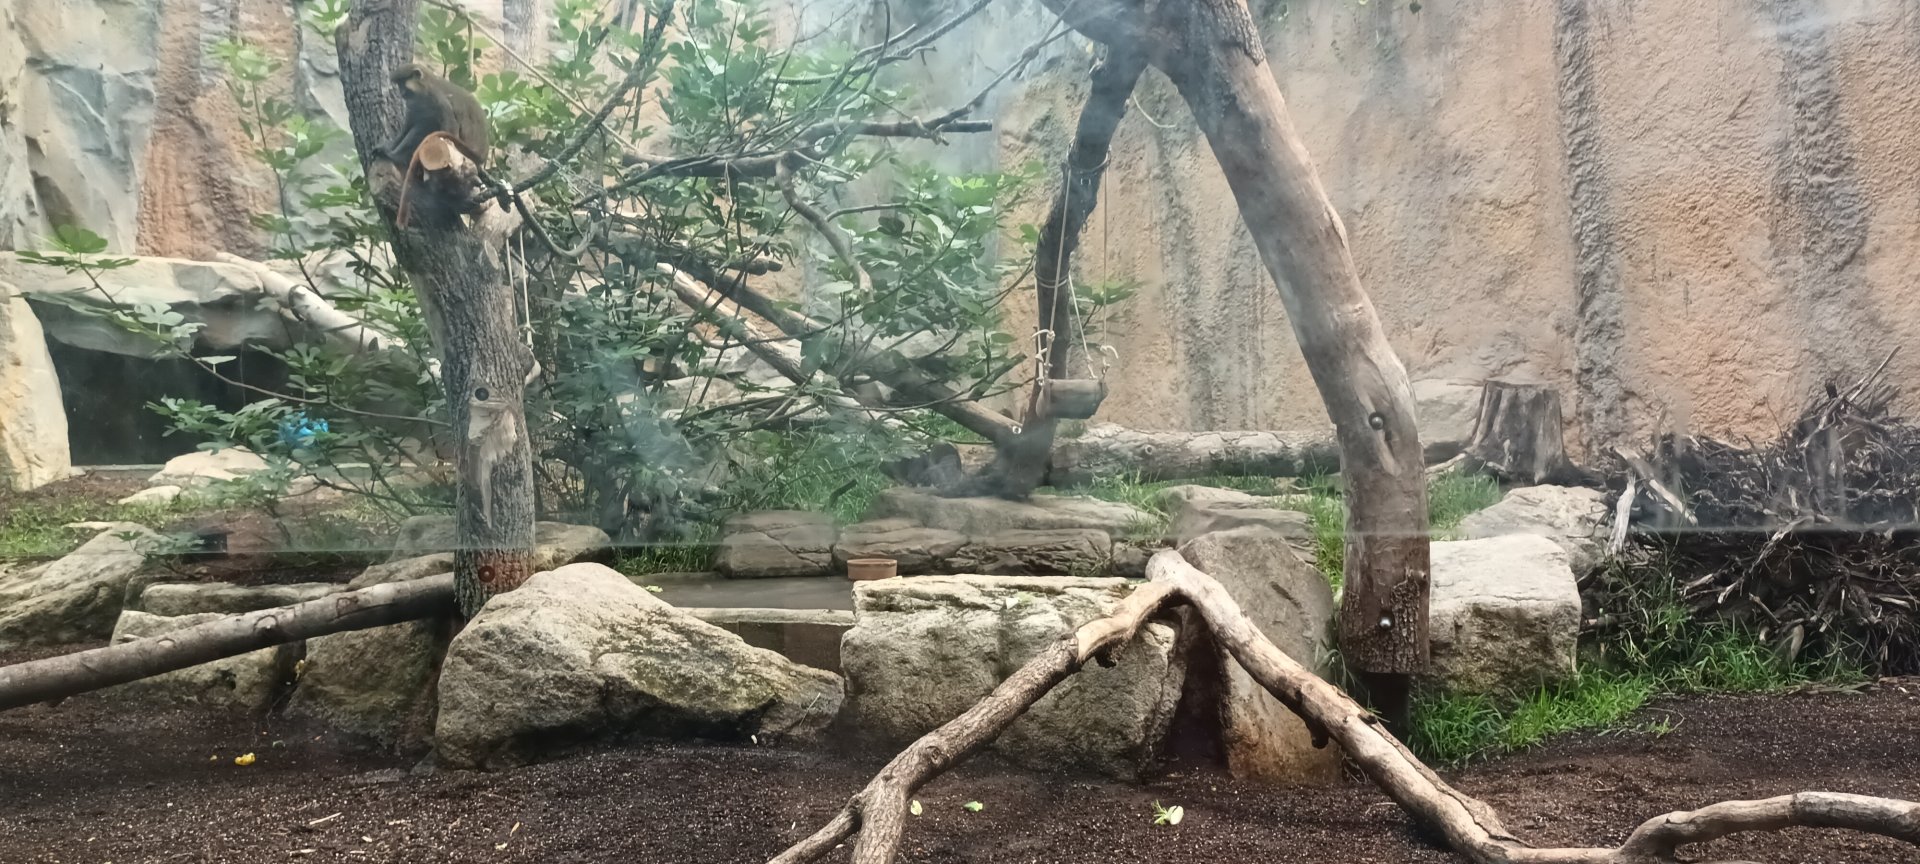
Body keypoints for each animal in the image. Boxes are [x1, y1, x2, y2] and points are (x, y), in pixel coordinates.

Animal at [378, 63, 491, 228]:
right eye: (399, 85)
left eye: (403, 84)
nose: (402, 92)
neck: (425, 86)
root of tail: (481, 158)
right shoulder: (415, 105)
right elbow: (409, 125)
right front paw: (387, 147)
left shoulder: (436, 99)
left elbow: (448, 125)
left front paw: (390, 153)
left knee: (428, 125)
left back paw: (396, 157)